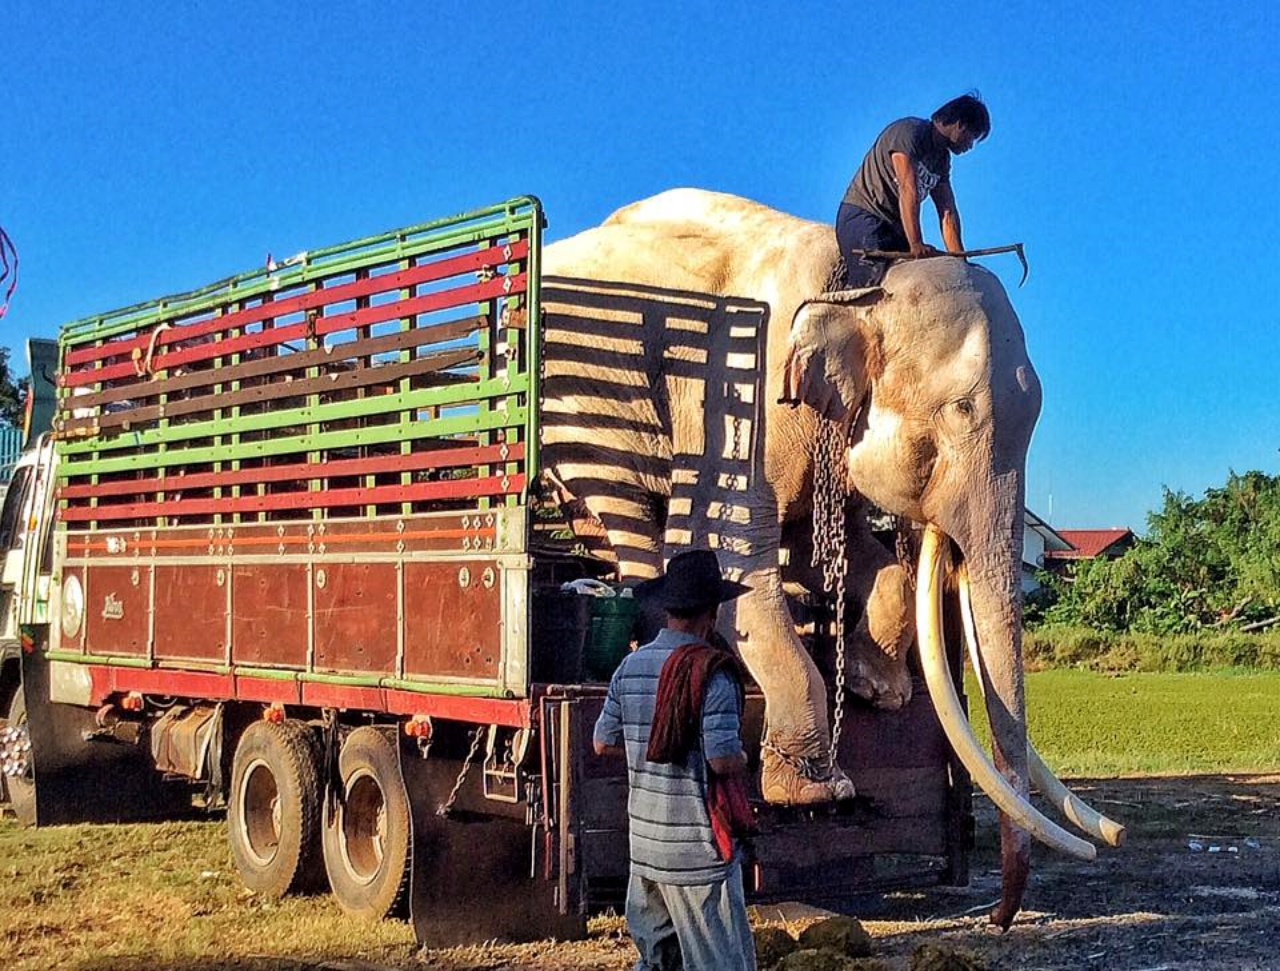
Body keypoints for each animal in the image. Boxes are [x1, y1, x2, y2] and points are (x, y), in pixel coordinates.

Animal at [537, 188, 1121, 926]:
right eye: (961, 410)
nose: (997, 916)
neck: (859, 286)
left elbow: (838, 553)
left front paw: (880, 690)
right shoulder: (742, 395)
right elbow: (731, 547)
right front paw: (818, 790)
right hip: (581, 410)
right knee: (635, 527)